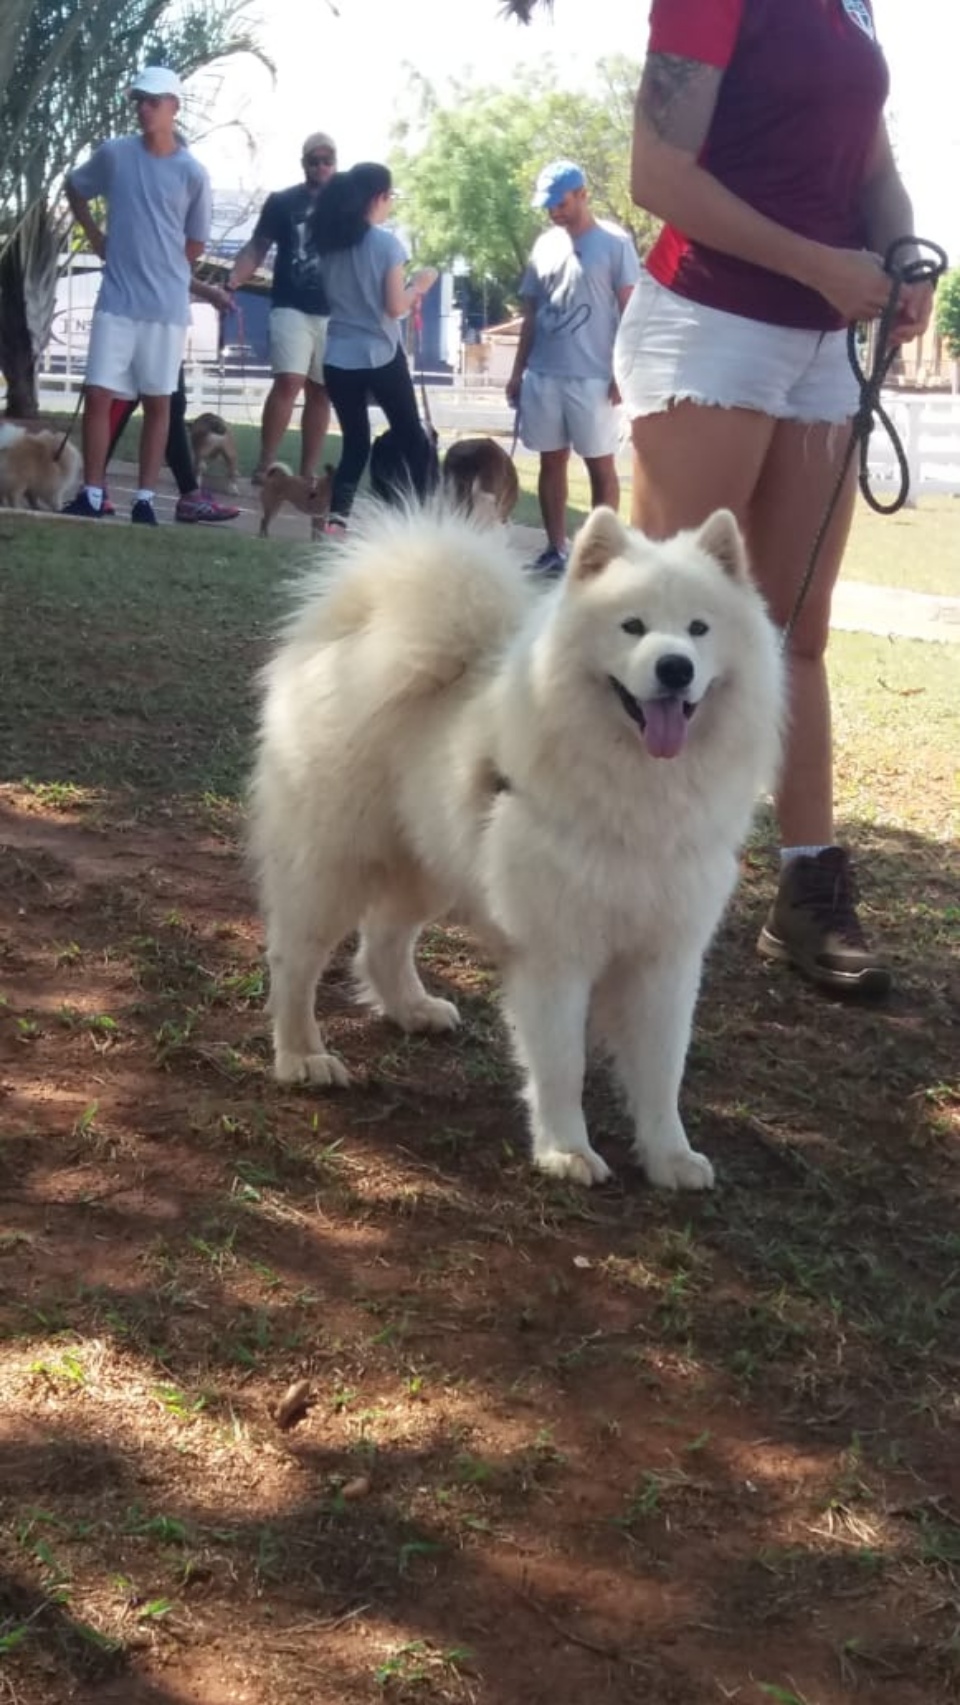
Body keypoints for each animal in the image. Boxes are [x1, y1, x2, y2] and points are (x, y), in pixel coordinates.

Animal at [252, 501, 784, 1186]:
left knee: (383, 941)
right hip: (333, 865)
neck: (639, 792)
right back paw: (301, 1056)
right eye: (632, 627)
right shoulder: (556, 953)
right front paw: (566, 1150)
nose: (675, 667)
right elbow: (562, 1064)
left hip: (431, 865)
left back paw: (412, 1008)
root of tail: (350, 634)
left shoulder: (666, 956)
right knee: (296, 960)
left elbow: (664, 1070)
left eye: (699, 629)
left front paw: (669, 1157)